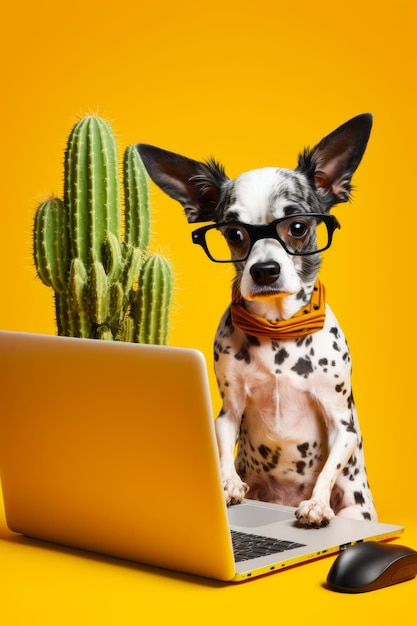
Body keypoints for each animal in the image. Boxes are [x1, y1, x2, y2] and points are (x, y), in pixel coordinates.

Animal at [136, 113, 376, 528]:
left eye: (297, 227)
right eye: (234, 234)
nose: (264, 270)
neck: (278, 329)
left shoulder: (341, 422)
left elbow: (329, 468)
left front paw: (316, 504)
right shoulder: (228, 411)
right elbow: (222, 450)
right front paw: (228, 484)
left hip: (357, 507)